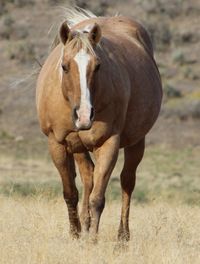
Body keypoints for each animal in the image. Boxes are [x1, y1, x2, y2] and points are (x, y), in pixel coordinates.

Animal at [36, 8, 162, 240]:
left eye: (98, 66)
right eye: (64, 66)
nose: (84, 115)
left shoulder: (108, 143)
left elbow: (98, 198)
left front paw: (92, 240)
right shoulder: (57, 143)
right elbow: (70, 193)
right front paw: (76, 234)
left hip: (136, 142)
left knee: (127, 182)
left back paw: (122, 237)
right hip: (78, 146)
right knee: (88, 176)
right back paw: (84, 225)